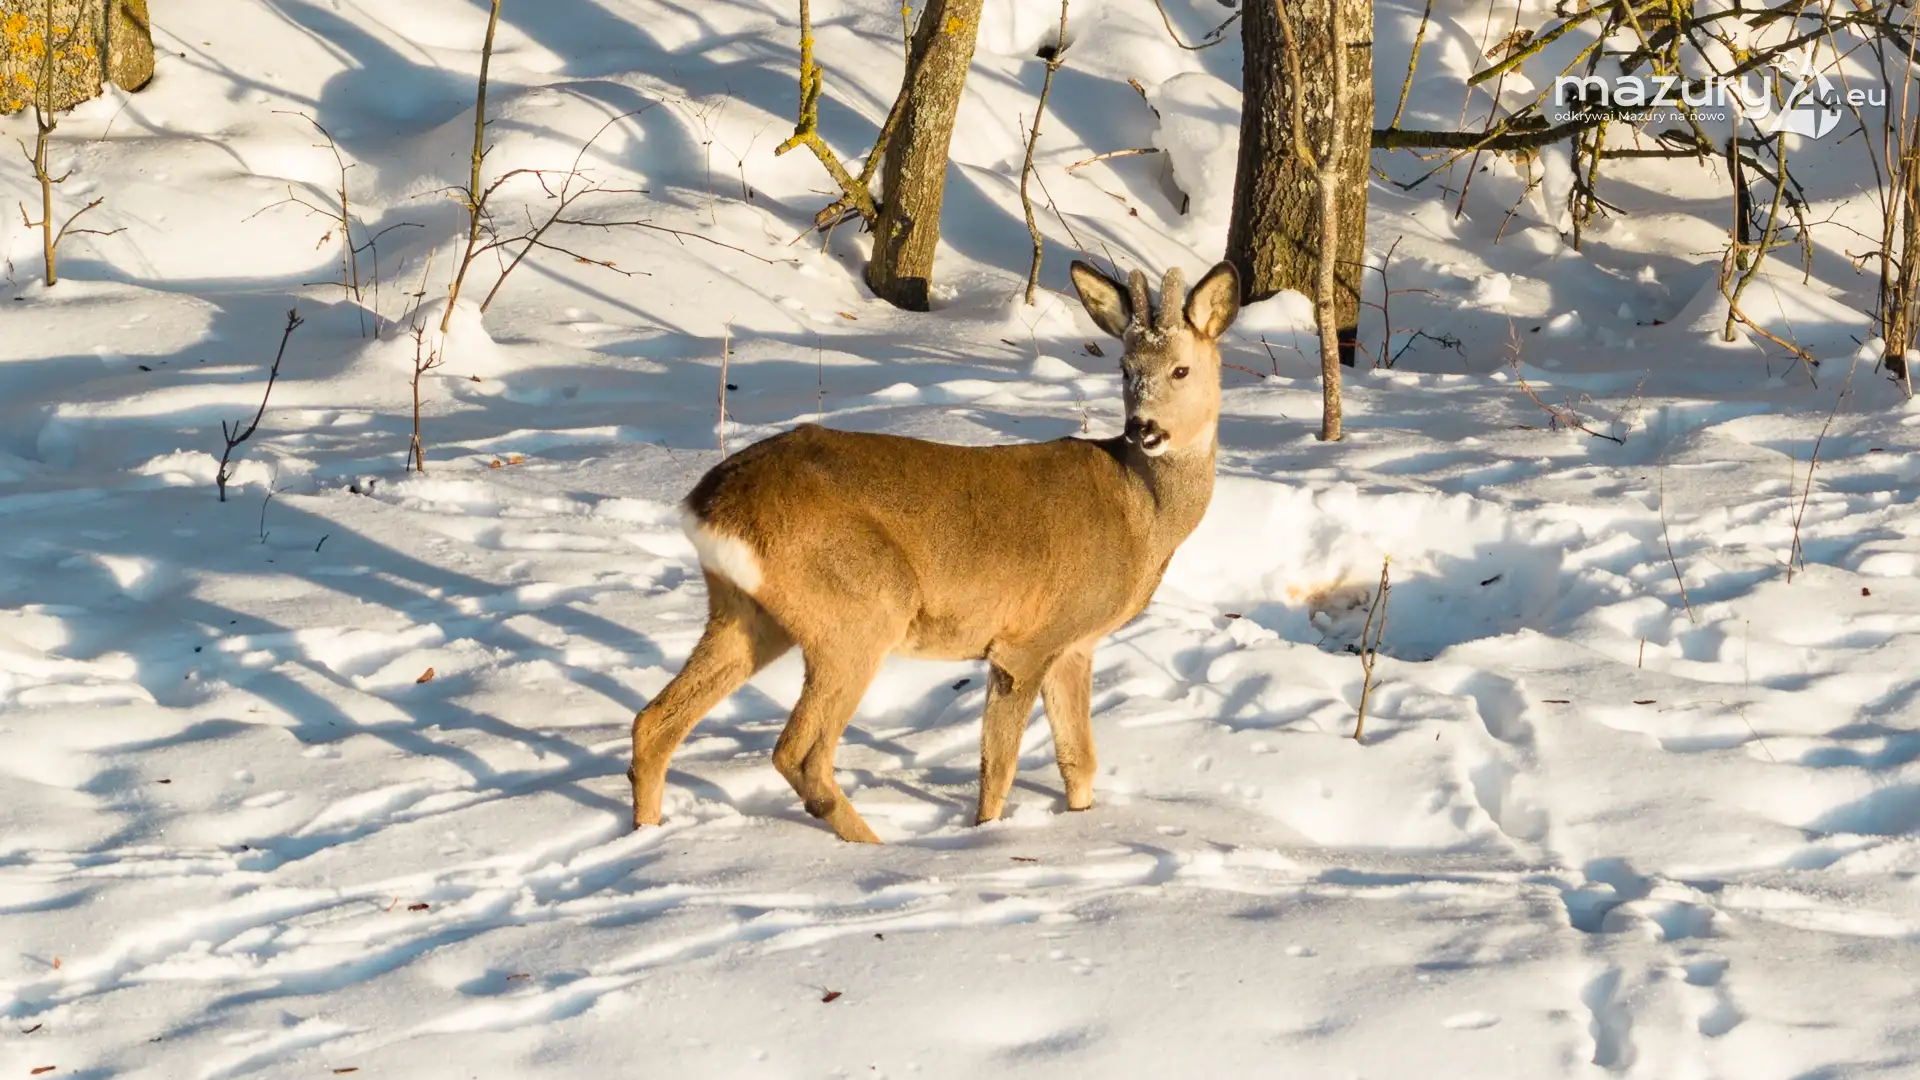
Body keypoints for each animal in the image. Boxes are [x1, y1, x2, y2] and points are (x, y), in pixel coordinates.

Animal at [629, 259, 1240, 842]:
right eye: (1125, 369)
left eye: (1180, 369)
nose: (1143, 428)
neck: (1140, 515)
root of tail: (709, 504)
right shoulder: (1027, 640)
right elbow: (999, 768)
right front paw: (986, 837)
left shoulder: (1074, 645)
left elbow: (1079, 761)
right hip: (861, 608)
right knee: (798, 753)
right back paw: (875, 846)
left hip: (747, 613)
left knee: (654, 722)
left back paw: (646, 835)